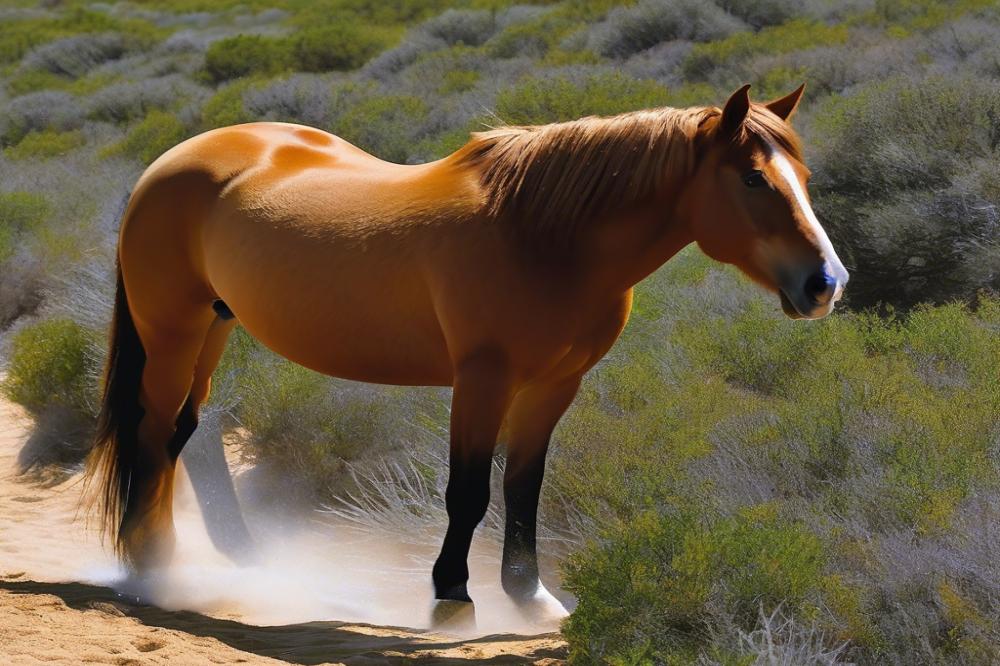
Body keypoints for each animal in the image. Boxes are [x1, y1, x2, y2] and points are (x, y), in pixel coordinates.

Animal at [88, 84, 852, 616]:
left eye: (805, 179)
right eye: (752, 178)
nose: (826, 284)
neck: (541, 236)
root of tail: (170, 163)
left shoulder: (554, 385)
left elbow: (523, 487)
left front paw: (531, 598)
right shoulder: (483, 379)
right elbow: (469, 491)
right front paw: (452, 597)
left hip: (214, 328)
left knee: (182, 434)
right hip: (173, 331)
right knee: (152, 432)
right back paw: (154, 569)